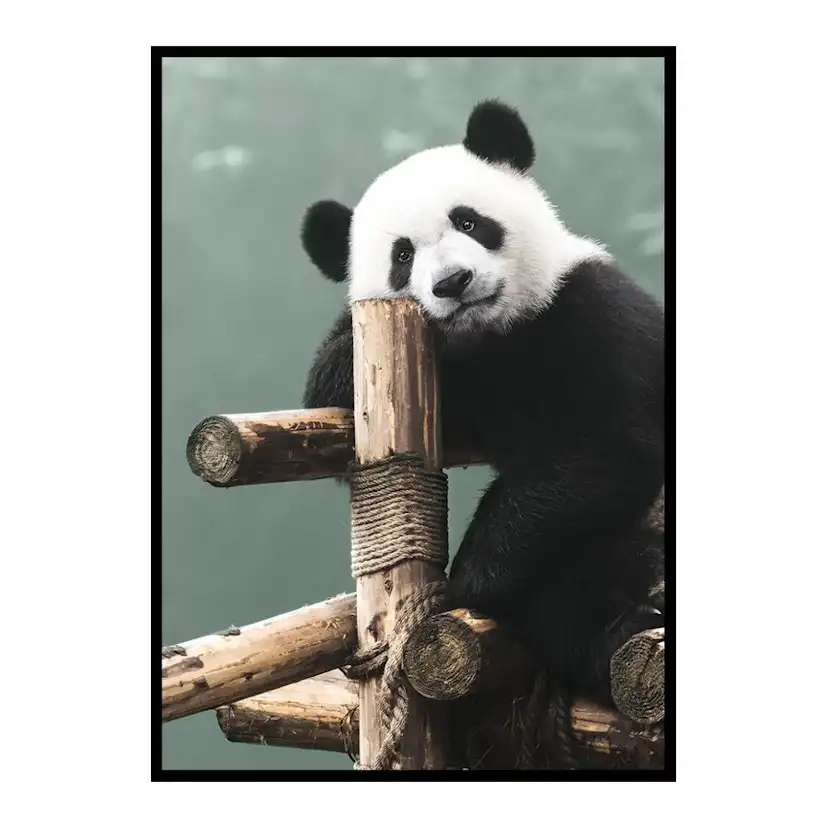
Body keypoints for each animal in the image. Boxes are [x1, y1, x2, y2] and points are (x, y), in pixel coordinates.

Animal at [300, 100, 664, 708]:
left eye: (469, 221)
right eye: (403, 255)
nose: (452, 281)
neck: (499, 335)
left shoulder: (597, 313)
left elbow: (610, 448)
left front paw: (462, 585)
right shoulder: (462, 380)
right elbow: (325, 390)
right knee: (573, 599)